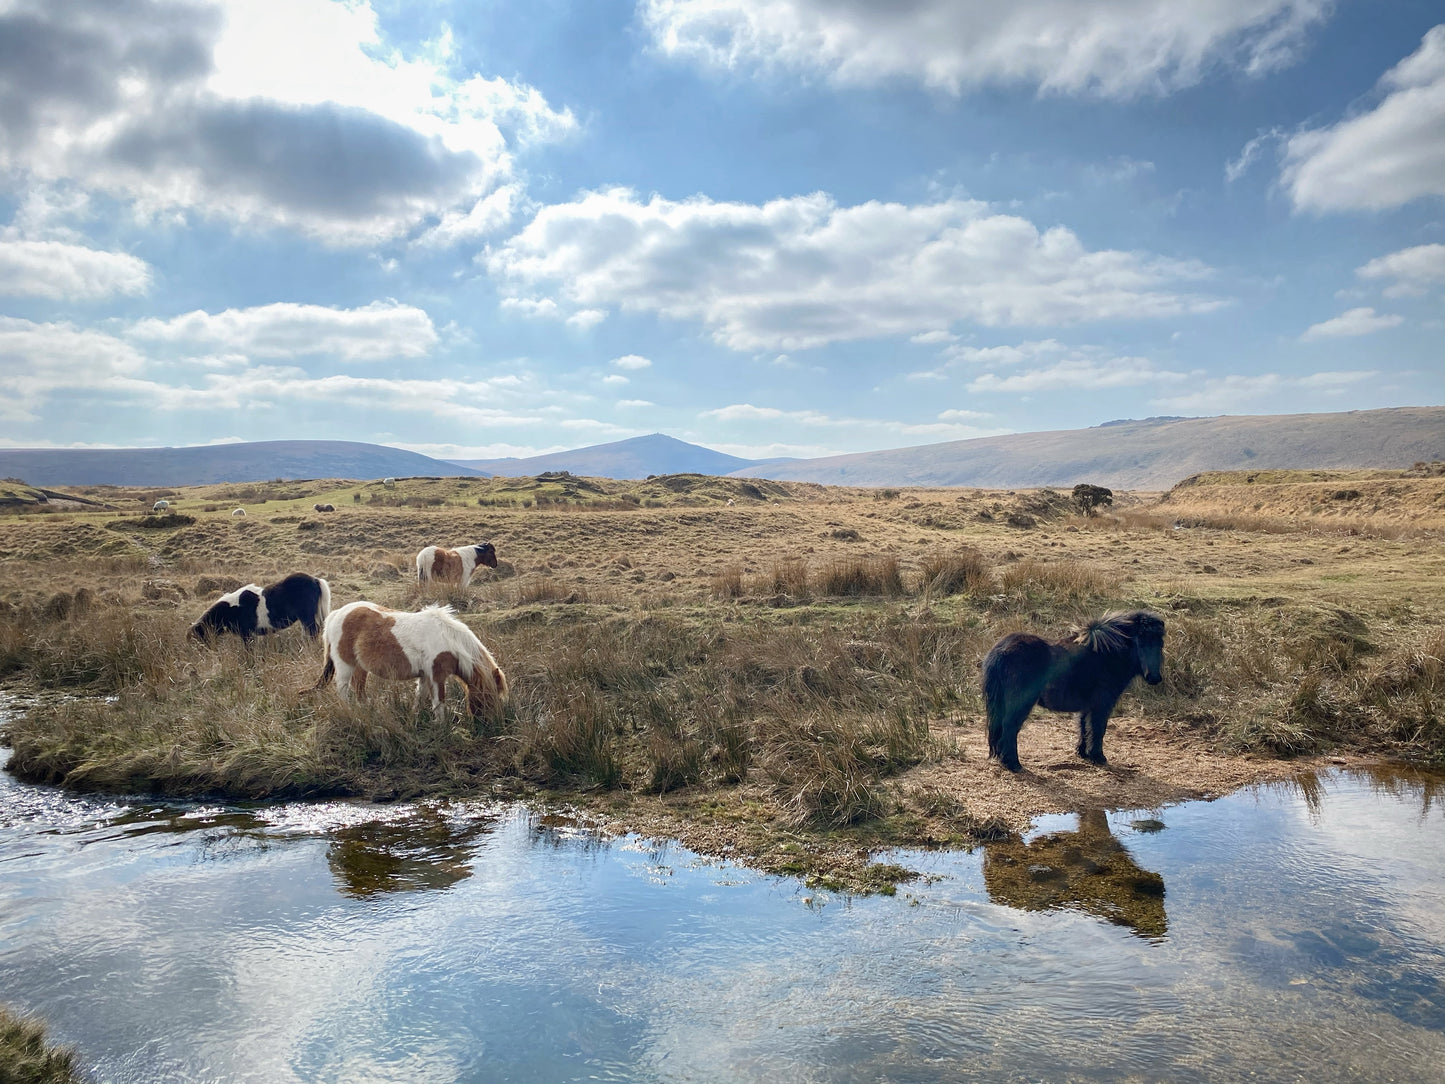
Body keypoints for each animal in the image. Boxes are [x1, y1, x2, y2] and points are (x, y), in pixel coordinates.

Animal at [311, 601, 509, 717]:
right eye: (487, 698)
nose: (492, 724)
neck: (448, 639)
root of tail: (336, 614)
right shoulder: (436, 676)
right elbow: (439, 702)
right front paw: (441, 727)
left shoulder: (425, 675)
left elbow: (420, 696)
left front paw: (415, 716)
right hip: (345, 665)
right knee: (343, 690)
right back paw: (350, 711)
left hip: (361, 667)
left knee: (358, 687)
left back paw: (365, 708)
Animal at [982, 610, 1165, 772]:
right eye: (1140, 641)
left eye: (1160, 643)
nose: (1154, 677)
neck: (1105, 655)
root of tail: (1002, 650)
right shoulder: (1102, 705)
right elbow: (1098, 729)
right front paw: (1098, 756)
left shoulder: (1087, 706)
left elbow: (1084, 727)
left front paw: (1083, 753)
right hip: (1021, 704)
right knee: (1010, 727)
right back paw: (1013, 764)